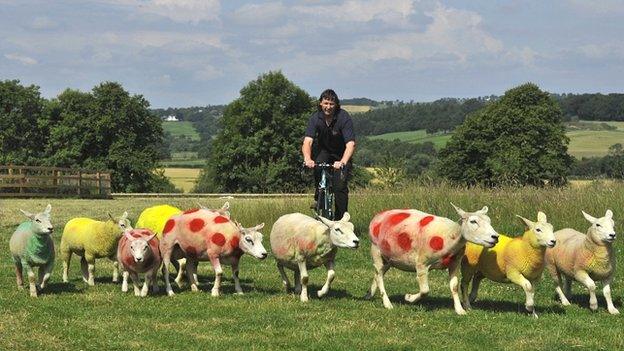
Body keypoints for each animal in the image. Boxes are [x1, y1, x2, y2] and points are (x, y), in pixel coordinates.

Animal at [364, 205, 500, 314]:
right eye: (473, 221)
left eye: (489, 221)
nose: (495, 237)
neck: (449, 236)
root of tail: (379, 215)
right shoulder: (421, 263)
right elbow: (425, 290)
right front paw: (409, 298)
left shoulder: (455, 262)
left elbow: (454, 286)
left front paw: (460, 310)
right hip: (376, 250)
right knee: (379, 275)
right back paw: (387, 303)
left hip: (389, 258)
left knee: (378, 273)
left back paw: (369, 294)